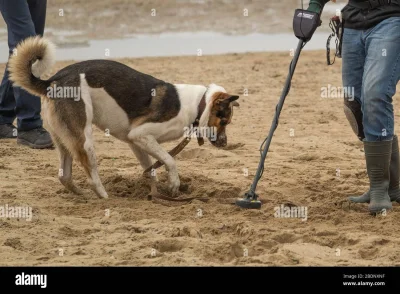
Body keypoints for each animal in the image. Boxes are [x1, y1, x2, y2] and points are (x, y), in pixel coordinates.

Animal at [8, 36, 241, 198]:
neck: (198, 105)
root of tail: (52, 81)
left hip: (63, 139)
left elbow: (151, 168)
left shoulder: (136, 141)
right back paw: (103, 195)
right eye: (224, 121)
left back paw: (82, 195)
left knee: (64, 176)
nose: (225, 144)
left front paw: (155, 190)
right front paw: (173, 184)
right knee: (89, 171)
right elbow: (170, 159)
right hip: (84, 139)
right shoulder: (141, 134)